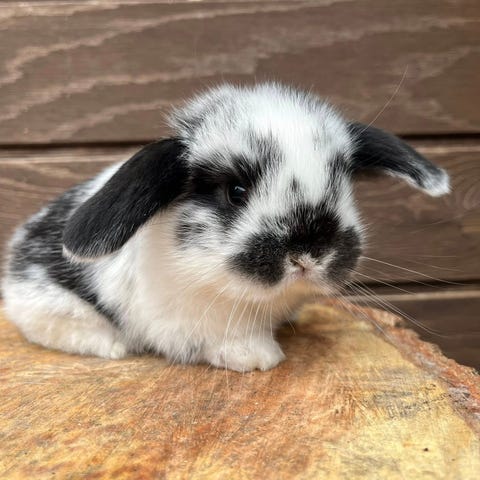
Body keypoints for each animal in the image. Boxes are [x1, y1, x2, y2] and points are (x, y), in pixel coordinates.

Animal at [1, 83, 450, 372]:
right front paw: (258, 358)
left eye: (342, 184)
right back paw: (112, 347)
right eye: (235, 191)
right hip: (49, 304)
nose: (308, 255)